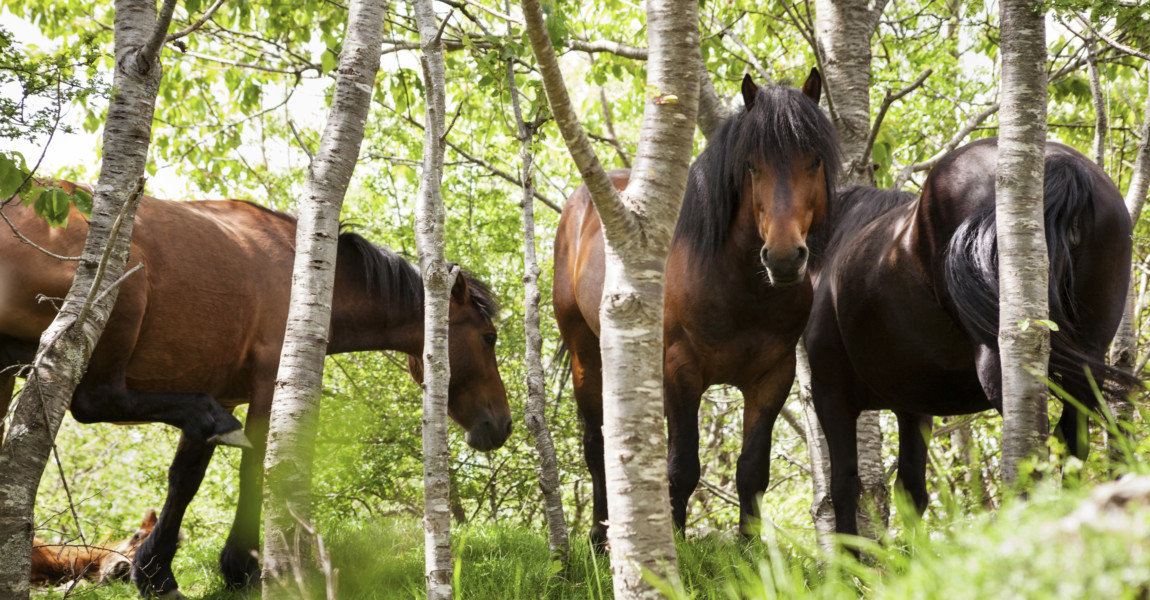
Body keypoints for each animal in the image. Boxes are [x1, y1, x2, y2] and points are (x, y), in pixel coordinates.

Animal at [556, 67, 846, 544]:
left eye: (815, 160)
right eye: (751, 164)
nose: (784, 257)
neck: (739, 289)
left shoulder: (773, 376)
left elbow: (752, 470)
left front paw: (751, 551)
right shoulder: (681, 370)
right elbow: (683, 468)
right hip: (585, 355)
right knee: (596, 446)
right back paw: (599, 537)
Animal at [805, 136, 1136, 537]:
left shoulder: (831, 396)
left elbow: (843, 488)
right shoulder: (913, 407)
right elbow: (910, 492)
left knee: (1033, 455)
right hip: (1086, 360)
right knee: (1075, 444)